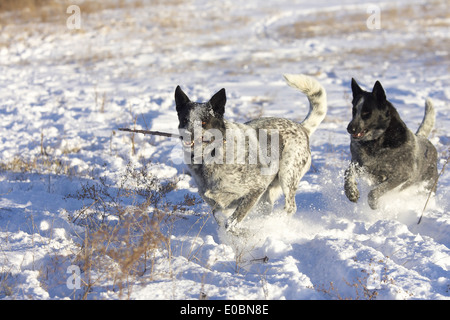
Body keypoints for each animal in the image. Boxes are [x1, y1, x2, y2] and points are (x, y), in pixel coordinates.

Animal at [174, 74, 326, 230]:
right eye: (184, 120)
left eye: (204, 122)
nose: (187, 135)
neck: (212, 154)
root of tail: (302, 127)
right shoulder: (217, 203)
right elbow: (221, 217)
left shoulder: (255, 189)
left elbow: (234, 219)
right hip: (269, 193)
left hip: (287, 174)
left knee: (290, 207)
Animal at [344, 78, 436, 210]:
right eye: (354, 110)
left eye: (367, 113)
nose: (350, 128)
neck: (377, 141)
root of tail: (423, 138)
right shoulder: (359, 165)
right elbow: (348, 173)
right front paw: (351, 192)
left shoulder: (402, 175)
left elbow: (375, 192)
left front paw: (374, 204)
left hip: (427, 187)